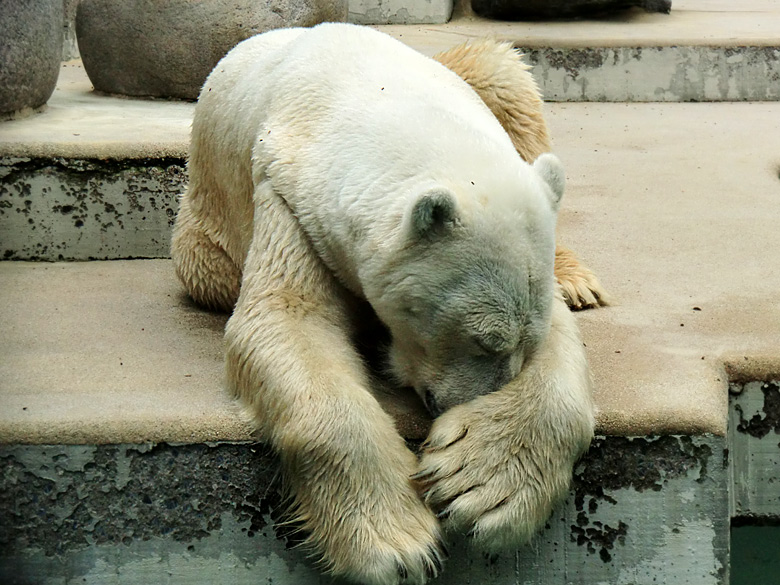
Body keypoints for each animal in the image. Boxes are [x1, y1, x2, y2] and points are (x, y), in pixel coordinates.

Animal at [172, 24, 596, 584]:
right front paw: (395, 545)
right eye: (483, 341)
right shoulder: (290, 203)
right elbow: (285, 319)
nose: (469, 403)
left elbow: (562, 341)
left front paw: (478, 482)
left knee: (506, 80)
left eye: (522, 341)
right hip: (206, 236)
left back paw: (578, 279)